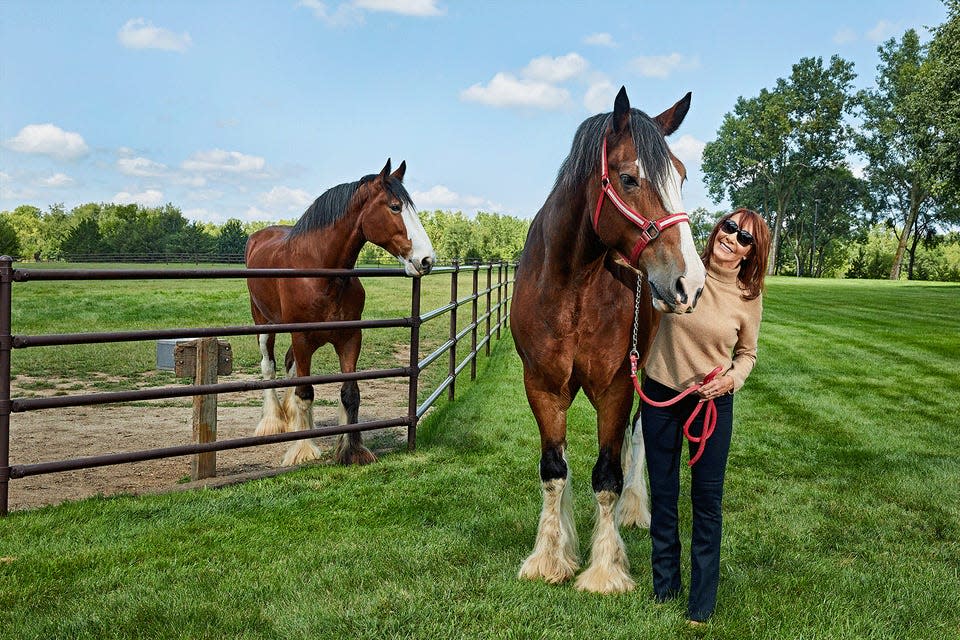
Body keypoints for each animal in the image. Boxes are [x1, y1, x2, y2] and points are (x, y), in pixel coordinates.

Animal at [244, 160, 436, 468]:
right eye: (395, 207)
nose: (427, 260)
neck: (320, 273)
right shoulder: (302, 338)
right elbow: (305, 393)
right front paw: (303, 449)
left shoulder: (349, 338)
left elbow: (350, 394)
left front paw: (352, 450)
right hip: (264, 323)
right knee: (269, 366)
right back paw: (272, 422)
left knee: (289, 364)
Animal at [512, 87, 708, 592]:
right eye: (628, 178)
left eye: (681, 175)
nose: (690, 283)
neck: (572, 287)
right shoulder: (541, 386)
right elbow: (554, 470)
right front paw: (550, 556)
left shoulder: (616, 387)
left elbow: (607, 477)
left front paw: (604, 569)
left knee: (637, 438)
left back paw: (635, 511)